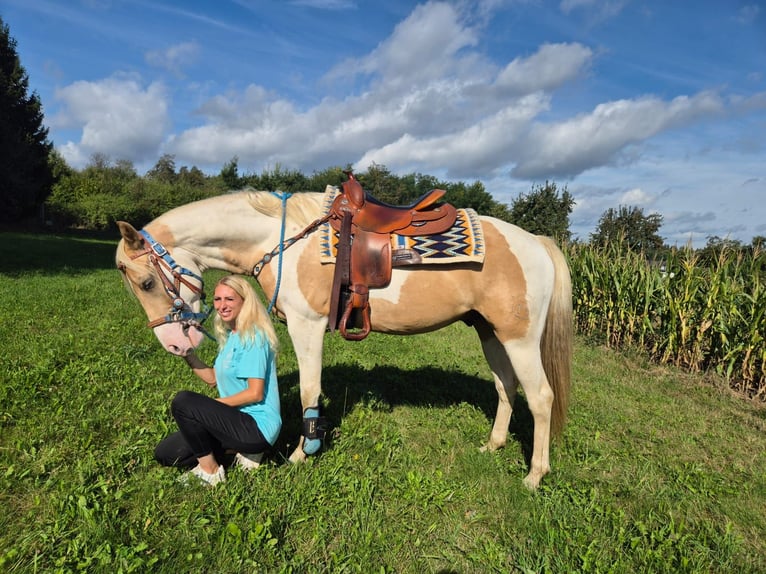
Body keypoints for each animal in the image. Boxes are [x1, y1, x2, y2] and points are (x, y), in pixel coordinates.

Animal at [115, 186, 573, 489]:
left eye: (147, 283)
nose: (175, 345)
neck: (282, 240)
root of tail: (537, 242)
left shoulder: (307, 324)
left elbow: (309, 390)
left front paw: (303, 453)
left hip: (519, 339)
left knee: (541, 397)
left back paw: (535, 475)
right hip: (490, 333)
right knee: (505, 387)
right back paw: (493, 446)